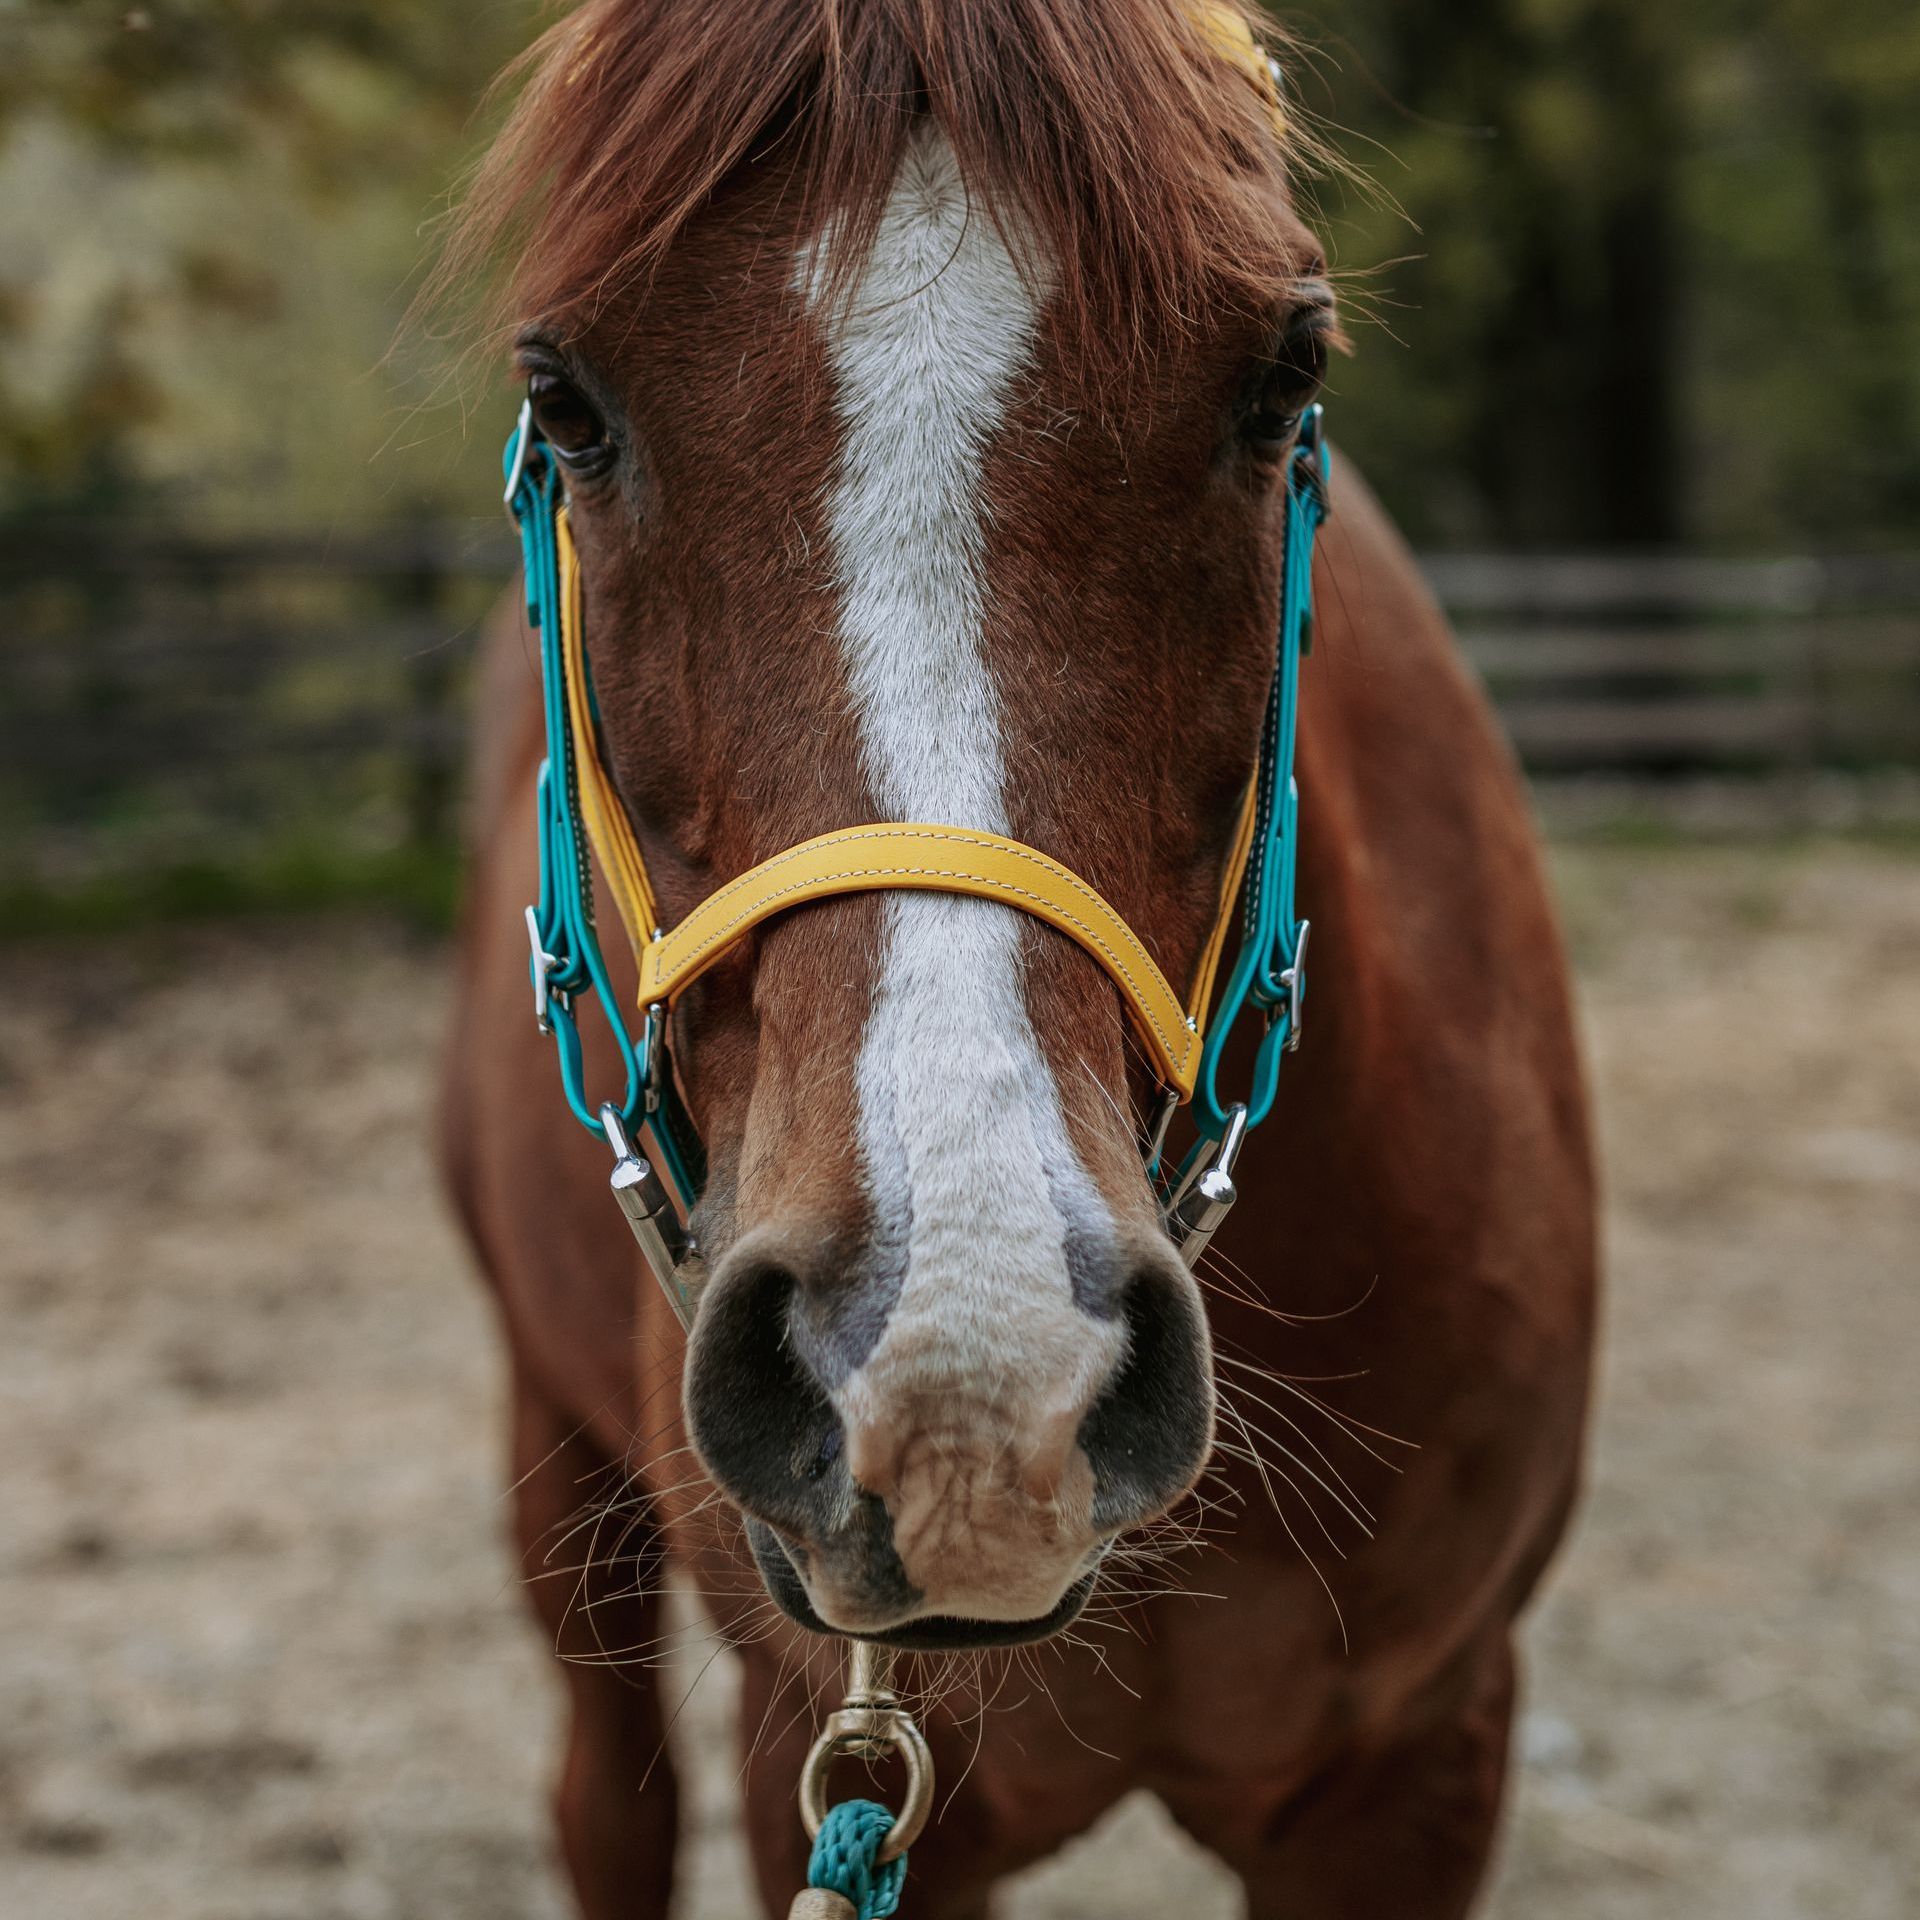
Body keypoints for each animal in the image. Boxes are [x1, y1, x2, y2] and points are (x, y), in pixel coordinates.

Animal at [435, 1, 1597, 1914]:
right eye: (566, 400)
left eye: (1282, 377)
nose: (963, 1371)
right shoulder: (817, 1750)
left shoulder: (1422, 1763)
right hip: (557, 1456)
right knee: (602, 1799)